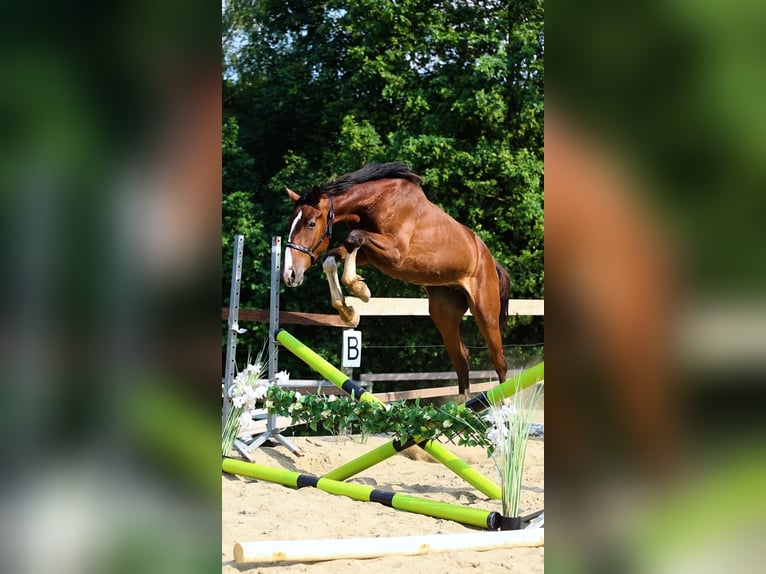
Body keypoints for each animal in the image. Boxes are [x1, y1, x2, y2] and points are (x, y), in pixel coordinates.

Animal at [282, 162, 511, 397]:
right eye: (290, 224)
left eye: (310, 224)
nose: (290, 274)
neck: (376, 202)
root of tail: (490, 260)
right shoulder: (369, 254)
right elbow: (334, 257)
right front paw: (348, 313)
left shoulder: (395, 253)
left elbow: (354, 237)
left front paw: (361, 290)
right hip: (444, 313)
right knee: (461, 360)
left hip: (485, 311)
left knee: (499, 361)